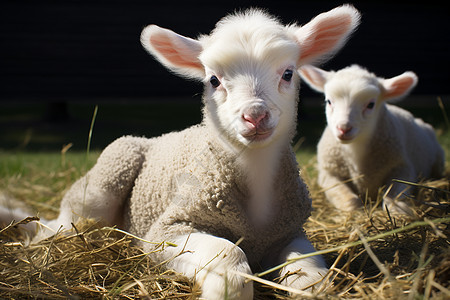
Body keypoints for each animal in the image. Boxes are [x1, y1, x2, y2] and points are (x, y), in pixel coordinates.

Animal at [0, 5, 360, 300]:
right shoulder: (166, 231)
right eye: (213, 80)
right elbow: (226, 253)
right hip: (103, 183)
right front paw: (225, 289)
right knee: (59, 226)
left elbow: (311, 272)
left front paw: (312, 285)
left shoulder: (290, 231)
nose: (255, 116)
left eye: (287, 73)